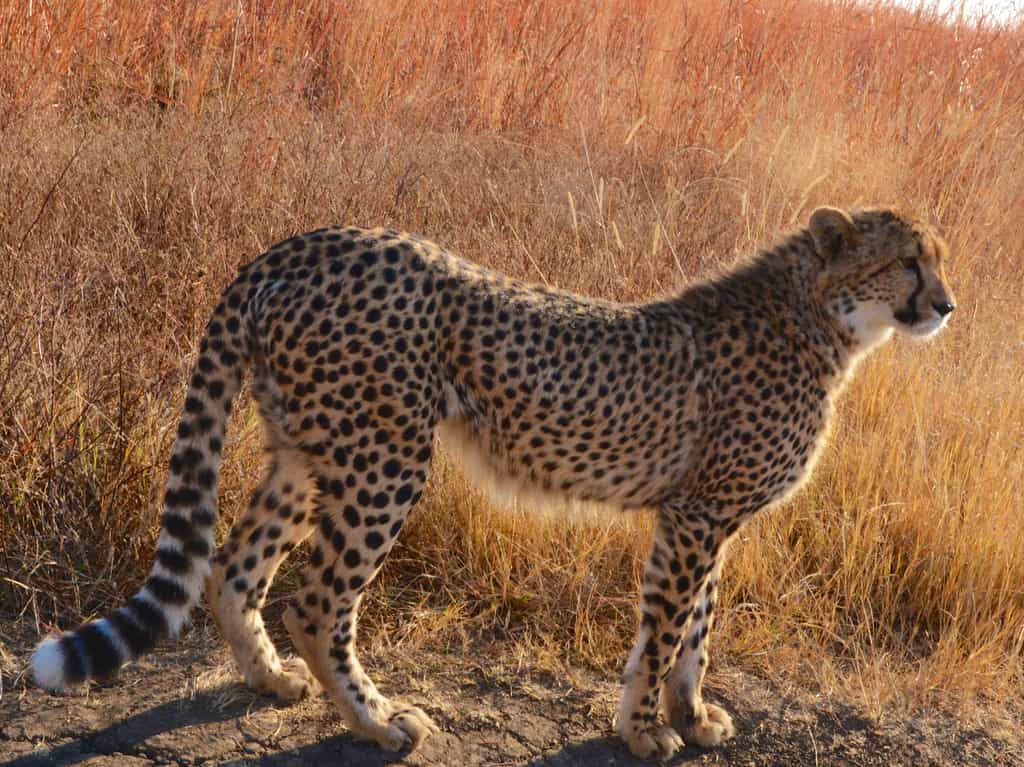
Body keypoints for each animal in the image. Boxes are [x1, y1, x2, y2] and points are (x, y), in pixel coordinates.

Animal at [31, 205, 954, 759]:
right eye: (908, 260)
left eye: (938, 260)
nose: (946, 305)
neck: (820, 318)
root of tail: (302, 241)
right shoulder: (695, 515)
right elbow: (665, 632)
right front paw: (644, 731)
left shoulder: (707, 513)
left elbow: (697, 626)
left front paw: (692, 716)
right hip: (387, 459)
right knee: (317, 599)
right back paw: (378, 720)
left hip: (307, 451)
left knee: (234, 567)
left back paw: (270, 680)